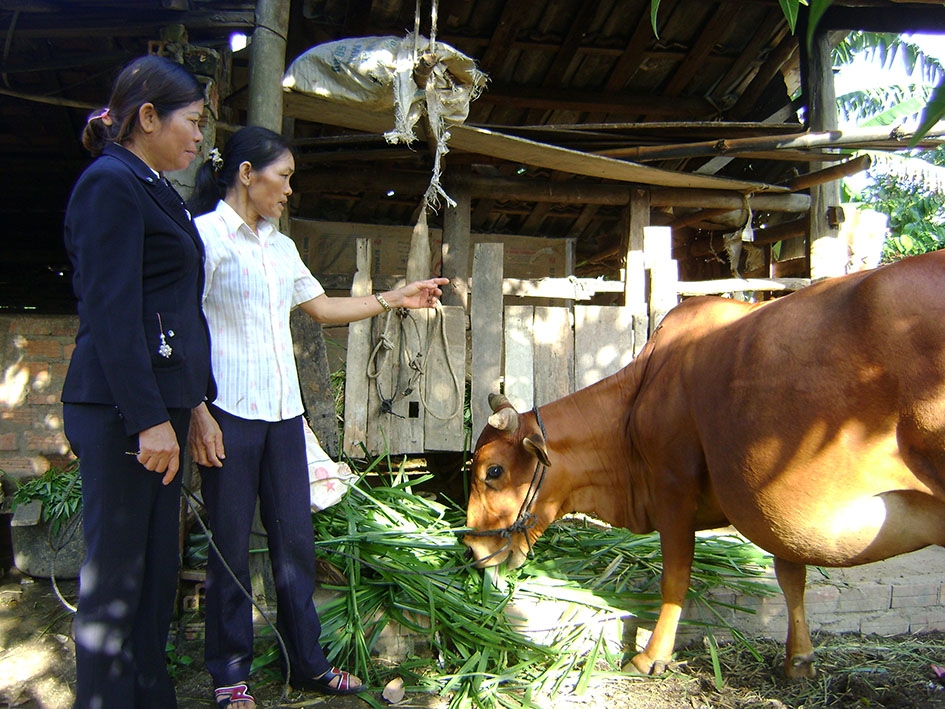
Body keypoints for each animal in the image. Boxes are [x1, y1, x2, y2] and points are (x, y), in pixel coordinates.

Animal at [464, 250, 945, 680]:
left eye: (493, 471)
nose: (473, 551)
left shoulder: (674, 487)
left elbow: (676, 577)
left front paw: (651, 657)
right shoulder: (767, 508)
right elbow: (791, 575)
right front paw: (799, 660)